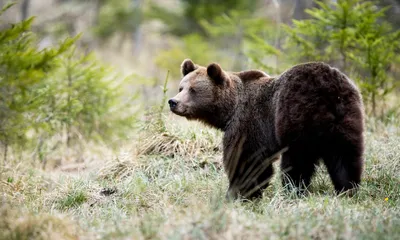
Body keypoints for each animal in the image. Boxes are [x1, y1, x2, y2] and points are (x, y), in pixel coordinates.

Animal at [167, 59, 364, 200]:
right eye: (181, 87)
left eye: (193, 90)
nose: (173, 102)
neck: (229, 111)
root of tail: (331, 91)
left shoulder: (248, 124)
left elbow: (247, 160)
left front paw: (237, 193)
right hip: (347, 118)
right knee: (345, 156)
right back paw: (347, 188)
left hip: (296, 115)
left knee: (298, 160)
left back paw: (293, 190)